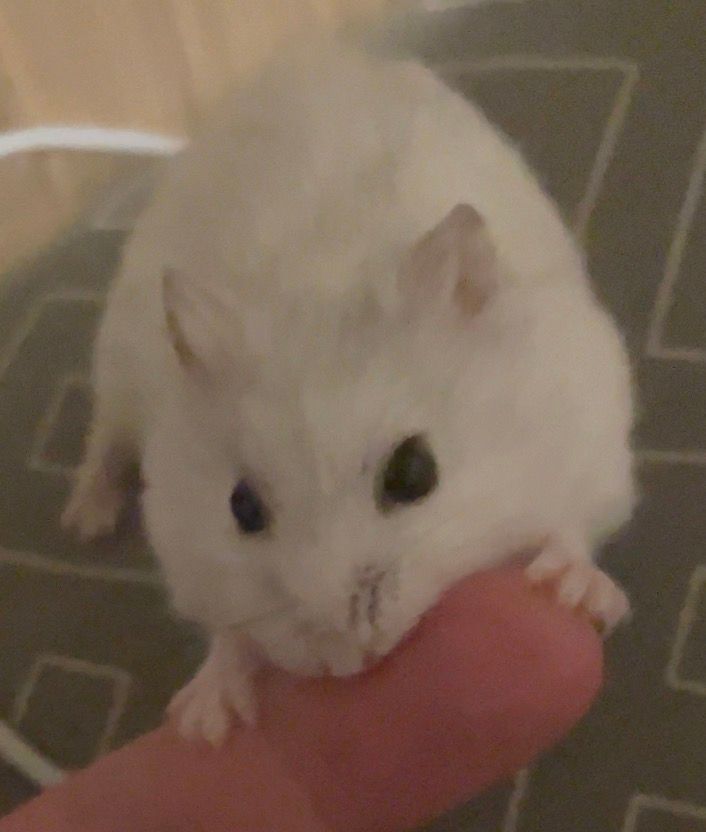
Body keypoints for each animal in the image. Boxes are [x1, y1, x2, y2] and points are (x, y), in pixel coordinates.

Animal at [63, 41, 635, 744]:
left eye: (414, 472)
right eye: (241, 507)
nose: (347, 660)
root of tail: (319, 57)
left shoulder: (589, 435)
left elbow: (571, 525)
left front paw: (573, 592)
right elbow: (228, 633)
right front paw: (205, 723)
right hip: (115, 363)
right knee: (106, 440)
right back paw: (86, 522)